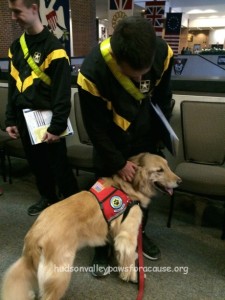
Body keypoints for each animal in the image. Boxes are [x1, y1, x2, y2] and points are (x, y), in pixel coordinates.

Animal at [1, 154, 181, 298]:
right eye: (159, 170)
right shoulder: (127, 236)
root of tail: (35, 232)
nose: (180, 181)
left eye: (168, 166)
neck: (126, 188)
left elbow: (120, 254)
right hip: (60, 275)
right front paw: (134, 277)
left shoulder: (116, 235)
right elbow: (129, 259)